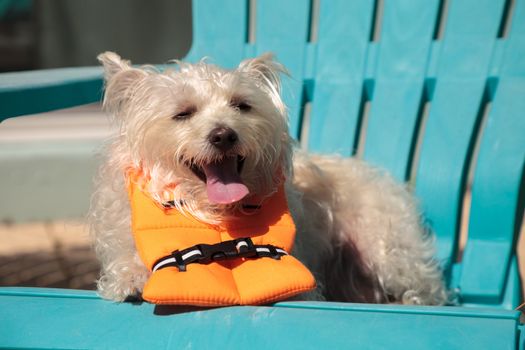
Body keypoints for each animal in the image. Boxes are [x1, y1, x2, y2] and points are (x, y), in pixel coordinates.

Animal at [90, 50, 446, 304]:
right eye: (183, 113)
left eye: (242, 106)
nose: (224, 135)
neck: (211, 213)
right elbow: (128, 259)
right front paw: (130, 278)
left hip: (389, 249)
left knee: (426, 284)